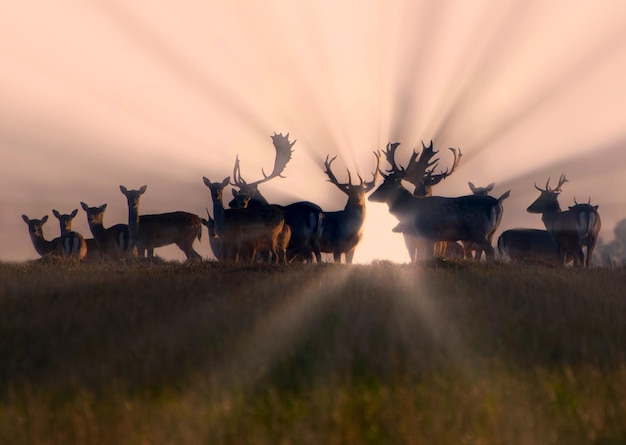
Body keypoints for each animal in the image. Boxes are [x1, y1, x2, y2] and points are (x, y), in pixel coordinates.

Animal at [227, 134, 322, 262]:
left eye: (242, 192)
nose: (230, 203)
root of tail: (318, 213)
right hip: (315, 240)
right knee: (318, 256)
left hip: (301, 238)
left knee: (309, 256)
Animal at [368, 144, 504, 260]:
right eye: (382, 184)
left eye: (386, 187)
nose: (370, 197)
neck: (411, 209)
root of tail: (495, 203)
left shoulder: (428, 234)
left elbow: (427, 257)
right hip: (490, 233)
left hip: (478, 231)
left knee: (490, 250)